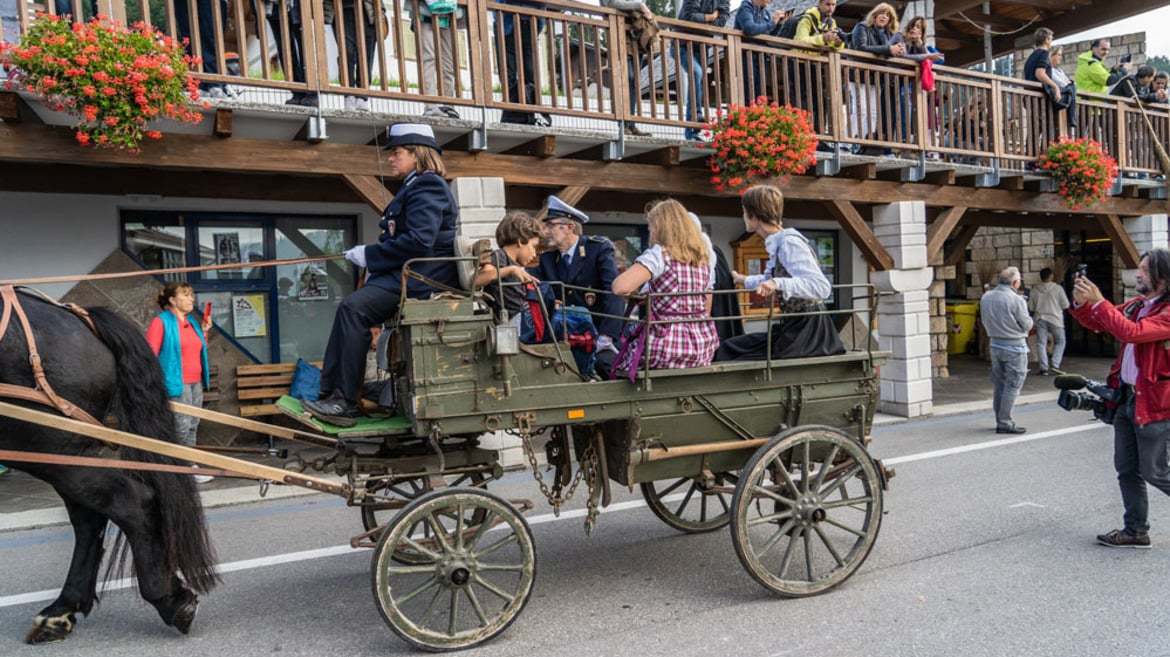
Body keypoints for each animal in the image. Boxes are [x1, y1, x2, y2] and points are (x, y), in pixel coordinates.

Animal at [0, 289, 218, 640]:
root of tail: (81, 320)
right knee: (91, 517)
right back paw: (62, 609)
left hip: (53, 444)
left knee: (129, 504)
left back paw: (169, 599)